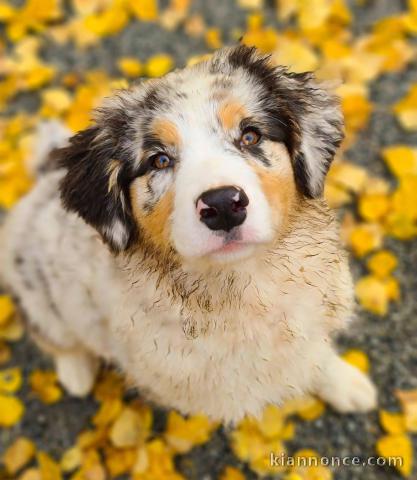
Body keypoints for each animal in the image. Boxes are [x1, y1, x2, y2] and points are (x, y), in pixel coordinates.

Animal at [0, 46, 376, 424]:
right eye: (159, 160)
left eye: (250, 136)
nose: (223, 205)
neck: (239, 288)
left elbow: (315, 356)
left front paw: (347, 385)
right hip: (41, 301)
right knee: (56, 339)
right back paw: (75, 372)